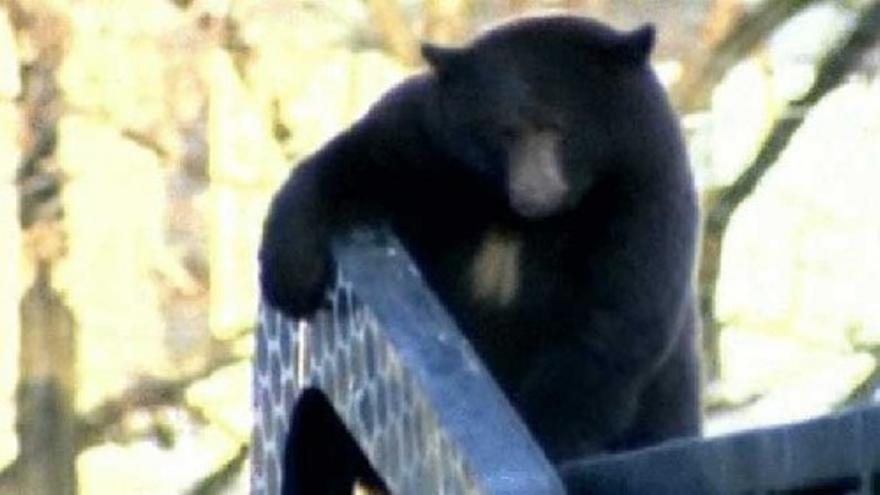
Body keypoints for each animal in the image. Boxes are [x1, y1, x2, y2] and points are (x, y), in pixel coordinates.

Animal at [262, 13, 700, 490]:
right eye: (504, 132)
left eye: (557, 126)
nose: (534, 191)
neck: (521, 218)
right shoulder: (432, 143)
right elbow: (356, 158)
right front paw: (291, 276)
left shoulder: (643, 181)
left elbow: (617, 315)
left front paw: (549, 441)